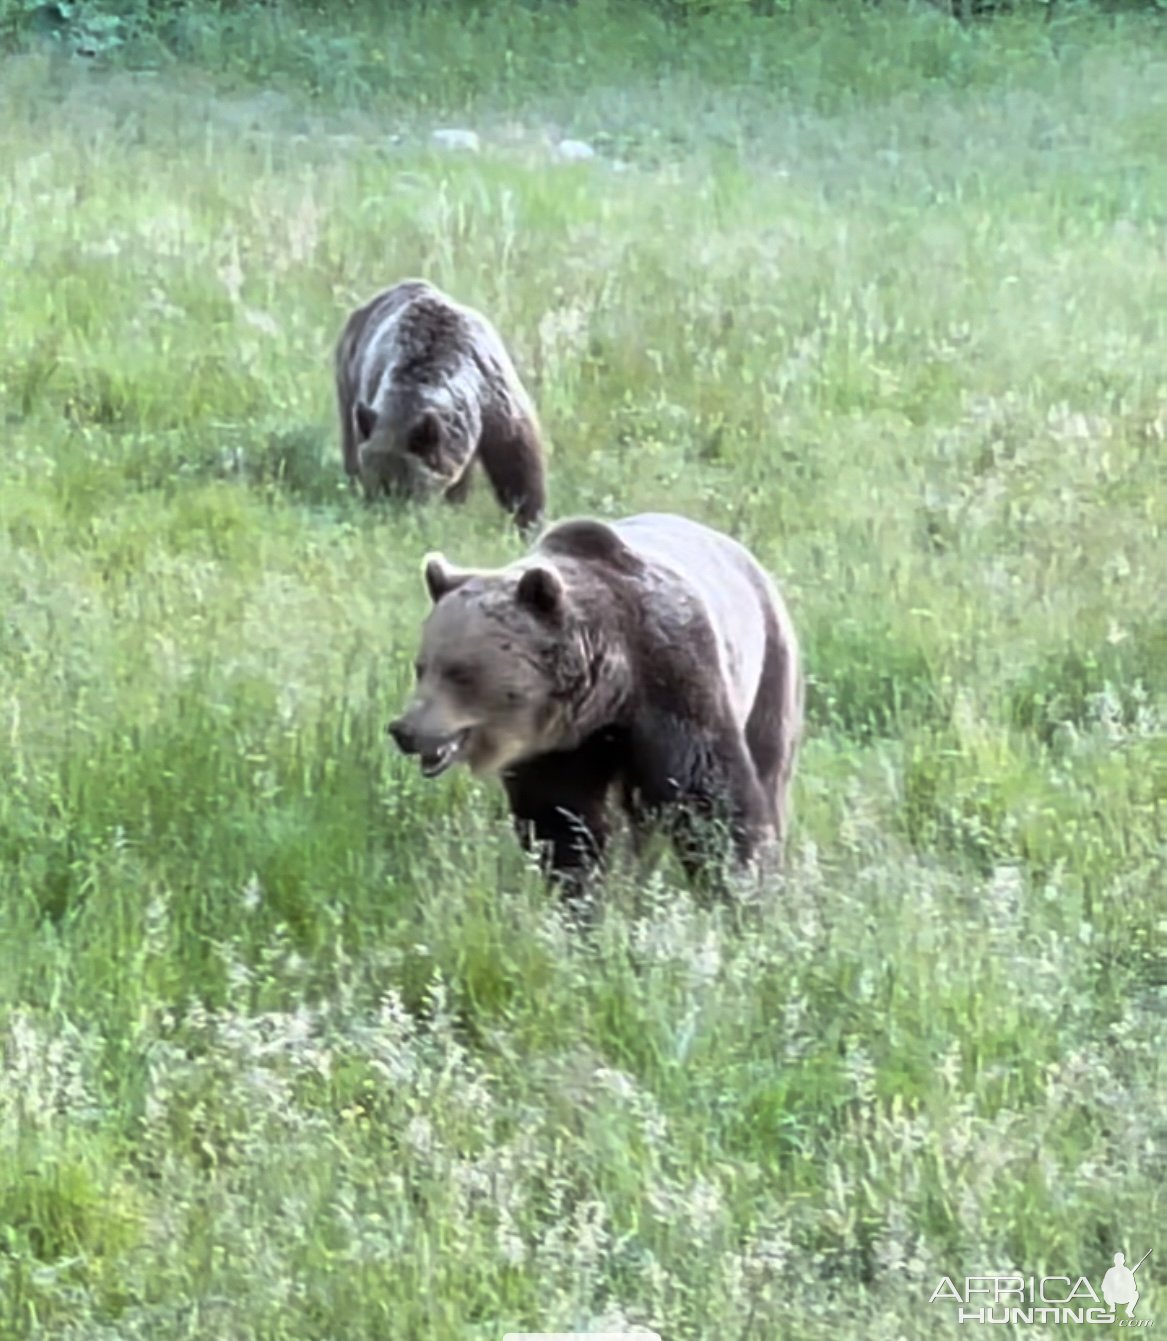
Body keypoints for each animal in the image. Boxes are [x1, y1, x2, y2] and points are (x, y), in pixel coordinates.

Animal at [331, 276, 547, 528]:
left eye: (407, 491)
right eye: (375, 487)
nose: (387, 518)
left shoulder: (494, 398)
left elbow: (518, 462)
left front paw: (529, 519)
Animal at [386, 512, 804, 901]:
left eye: (460, 672)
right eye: (422, 667)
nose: (405, 730)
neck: (608, 694)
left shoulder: (673, 680)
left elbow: (709, 796)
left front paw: (740, 889)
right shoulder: (558, 747)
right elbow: (562, 819)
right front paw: (580, 893)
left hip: (770, 664)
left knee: (769, 768)